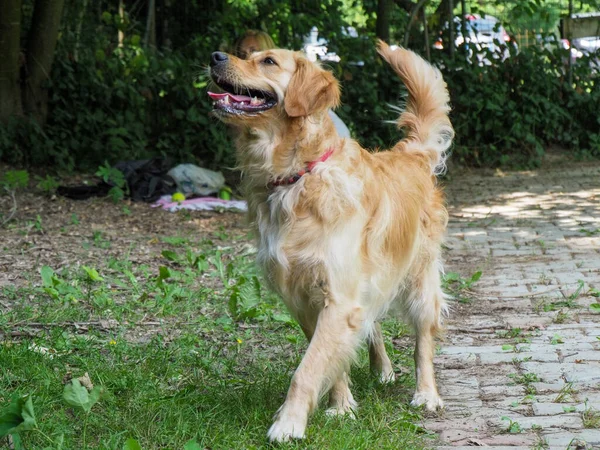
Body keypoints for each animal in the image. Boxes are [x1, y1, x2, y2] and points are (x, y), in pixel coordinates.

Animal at [209, 40, 452, 442]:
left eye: (269, 61)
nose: (215, 57)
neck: (297, 176)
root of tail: (411, 154)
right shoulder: (305, 297)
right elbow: (328, 359)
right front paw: (342, 407)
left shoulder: (337, 296)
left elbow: (307, 370)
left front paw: (289, 424)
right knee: (371, 322)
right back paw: (382, 370)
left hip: (419, 279)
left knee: (423, 339)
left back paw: (426, 394)